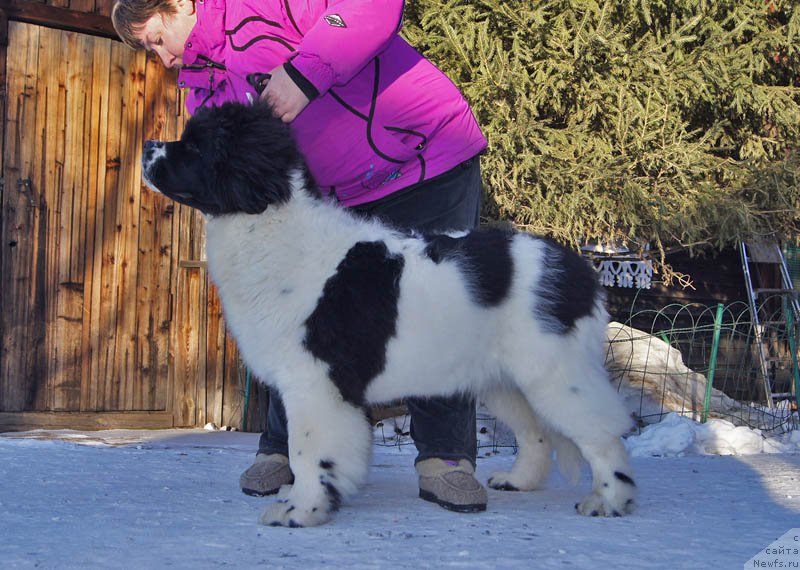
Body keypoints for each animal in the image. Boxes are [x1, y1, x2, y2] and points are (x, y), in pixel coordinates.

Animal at [139, 101, 636, 524]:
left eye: (196, 146)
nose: (146, 146)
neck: (270, 223)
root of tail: (579, 267)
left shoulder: (315, 381)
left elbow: (307, 451)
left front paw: (301, 511)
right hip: (505, 379)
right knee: (535, 433)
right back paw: (519, 481)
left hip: (556, 374)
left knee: (601, 432)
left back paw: (609, 500)